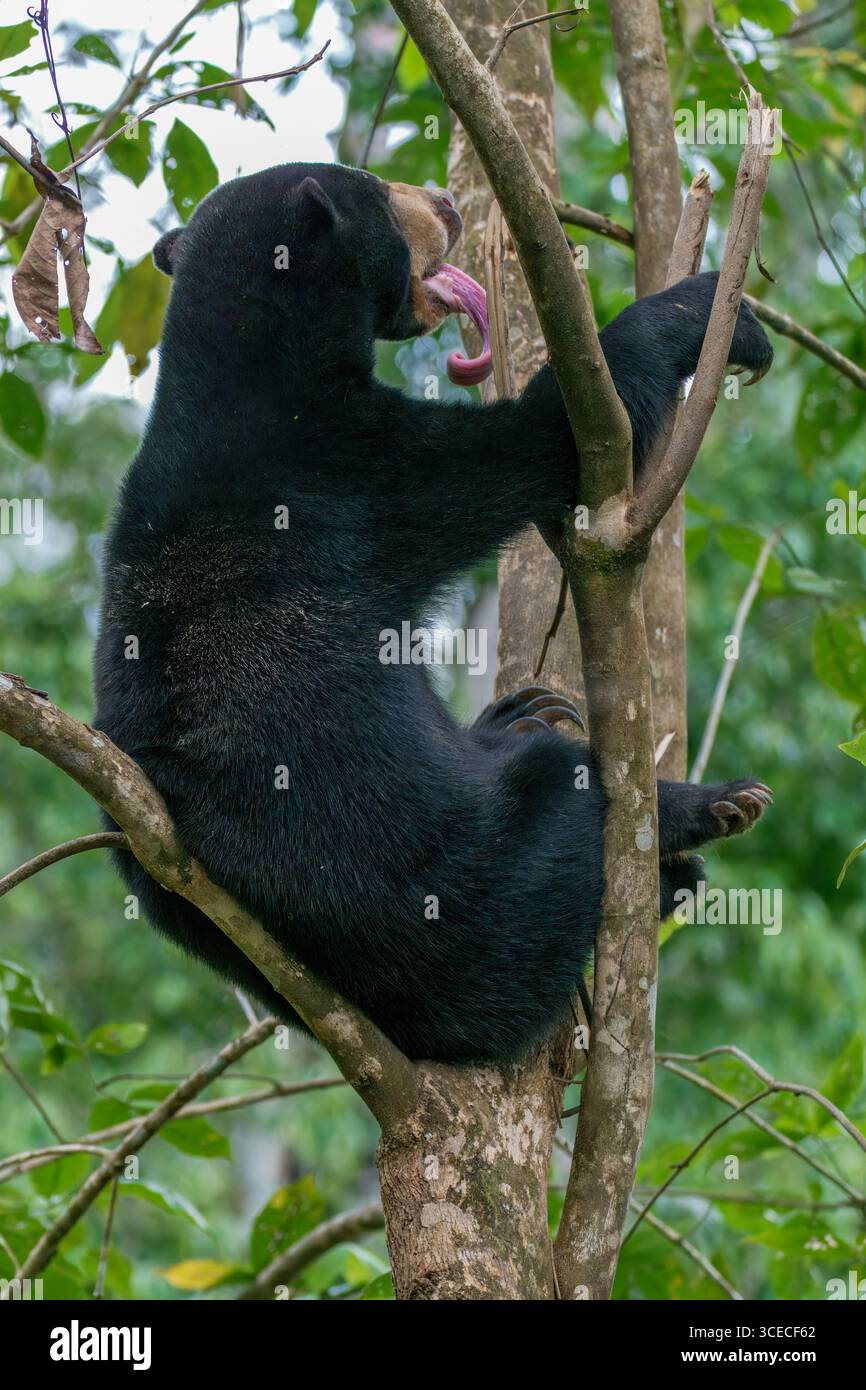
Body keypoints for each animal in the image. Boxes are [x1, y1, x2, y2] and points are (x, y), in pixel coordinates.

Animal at [93, 162, 774, 1064]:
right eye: (379, 190)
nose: (449, 202)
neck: (255, 357)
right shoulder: (351, 472)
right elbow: (544, 436)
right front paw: (711, 315)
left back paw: (531, 718)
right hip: (481, 895)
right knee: (568, 795)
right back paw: (703, 817)